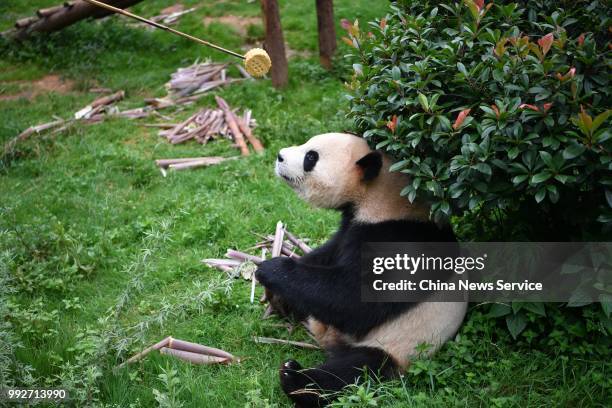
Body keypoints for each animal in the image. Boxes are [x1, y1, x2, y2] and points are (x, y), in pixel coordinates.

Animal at [256, 133, 466, 404]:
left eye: (311, 157)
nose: (280, 156)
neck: (384, 197)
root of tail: (329, 340)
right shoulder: (351, 227)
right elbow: (326, 255)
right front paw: (277, 293)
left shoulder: (398, 240)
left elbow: (354, 299)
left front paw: (272, 269)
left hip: (401, 344)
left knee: (356, 369)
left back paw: (295, 378)